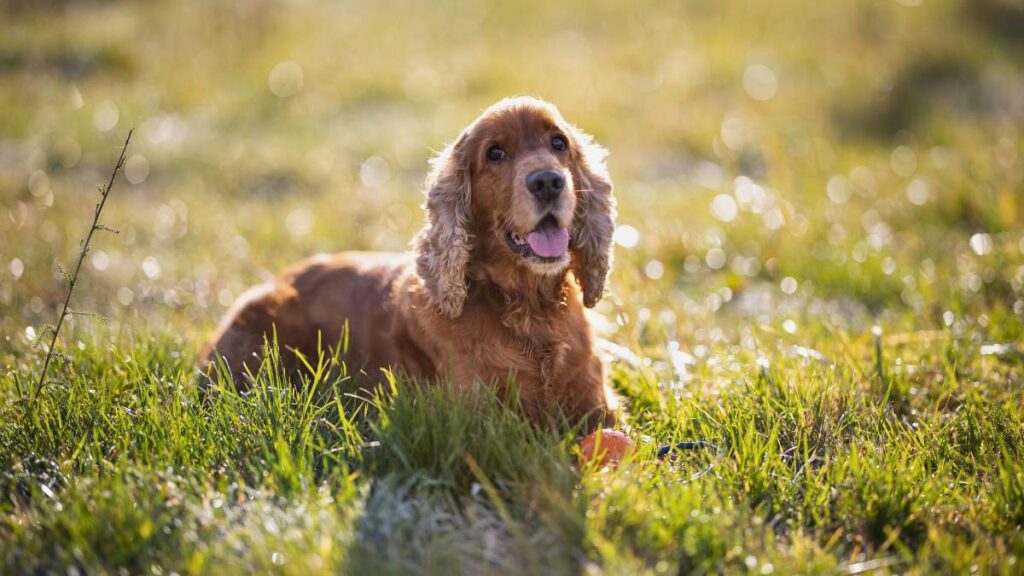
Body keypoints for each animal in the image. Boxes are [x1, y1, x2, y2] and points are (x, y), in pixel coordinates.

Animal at [201, 97, 618, 428]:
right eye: (495, 153)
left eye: (559, 142)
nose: (548, 182)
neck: (529, 309)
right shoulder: (483, 418)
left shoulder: (599, 405)